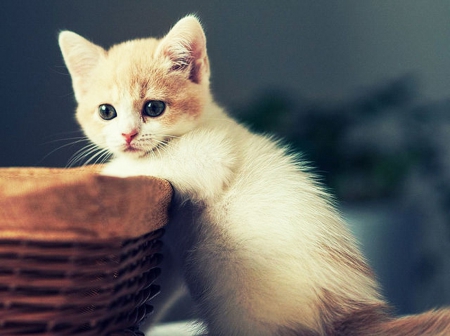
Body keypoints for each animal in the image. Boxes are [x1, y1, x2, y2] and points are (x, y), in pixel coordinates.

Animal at [59, 15, 450, 334]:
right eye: (106, 112)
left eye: (154, 108)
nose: (127, 135)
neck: (205, 122)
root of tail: (356, 320)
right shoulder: (168, 249)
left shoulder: (211, 154)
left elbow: (148, 163)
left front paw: (98, 173)